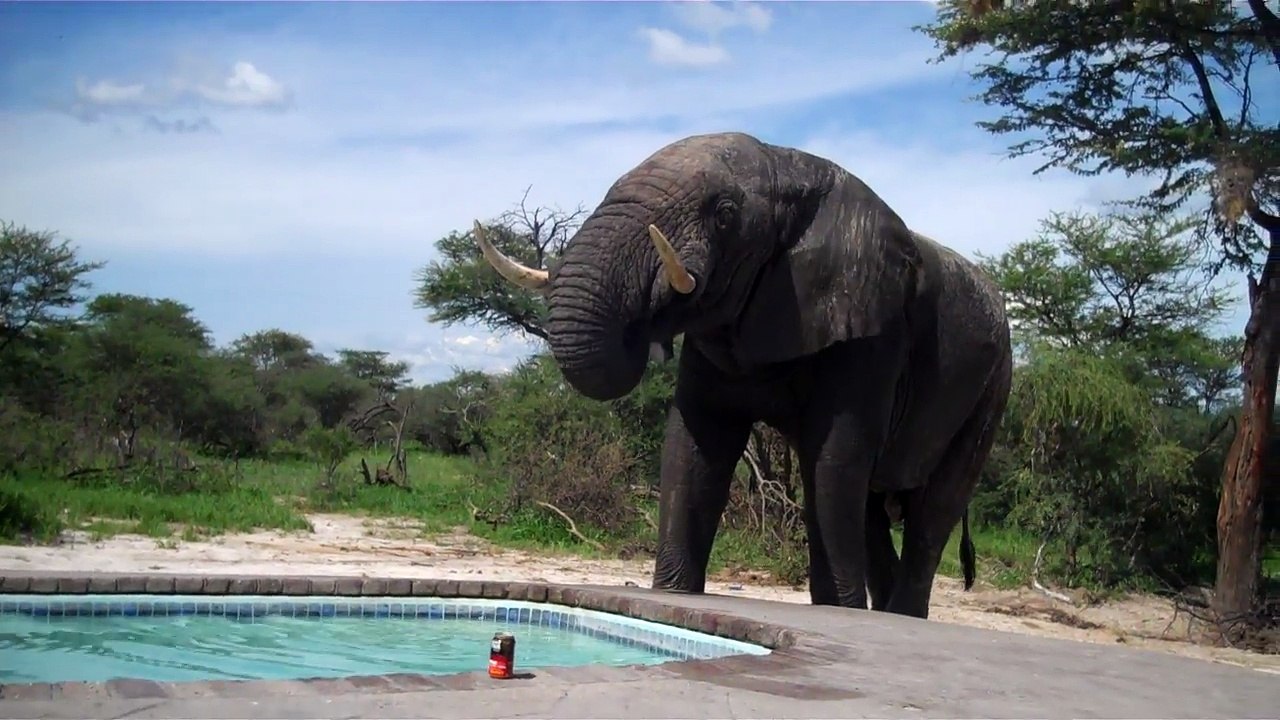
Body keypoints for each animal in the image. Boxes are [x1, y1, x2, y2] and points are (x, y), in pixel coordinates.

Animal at [473, 131, 1012, 618]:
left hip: (992, 389)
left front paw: (838, 611)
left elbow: (835, 457)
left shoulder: (872, 331)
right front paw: (673, 594)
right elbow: (694, 442)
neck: (792, 166)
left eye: (725, 213)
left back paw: (899, 616)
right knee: (873, 514)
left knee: (932, 510)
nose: (645, 320)